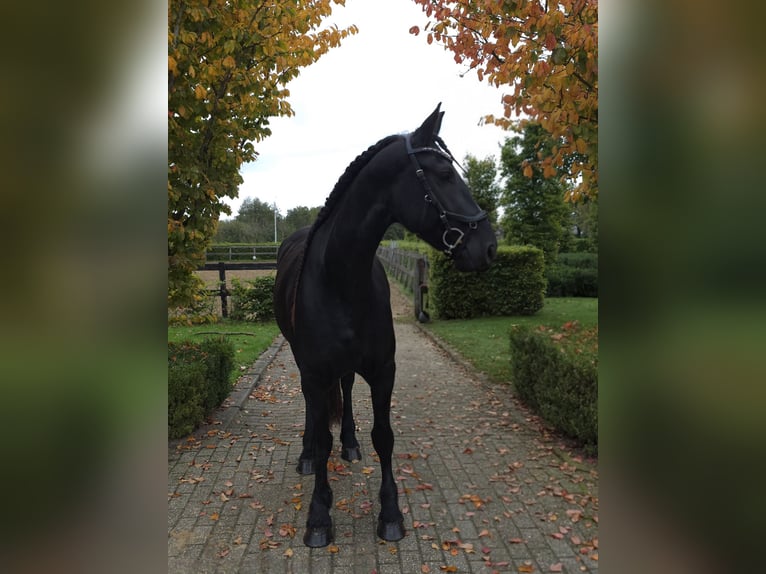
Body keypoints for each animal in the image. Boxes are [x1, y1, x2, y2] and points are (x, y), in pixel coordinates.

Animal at [273, 104, 497, 548]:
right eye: (444, 174)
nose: (490, 246)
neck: (340, 279)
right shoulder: (315, 372)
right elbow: (321, 435)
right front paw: (319, 515)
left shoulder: (383, 371)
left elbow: (384, 436)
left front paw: (390, 513)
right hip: (304, 366)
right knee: (312, 414)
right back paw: (306, 457)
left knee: (344, 392)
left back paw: (350, 444)